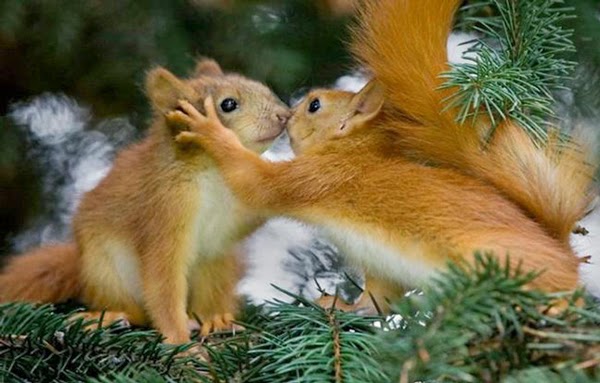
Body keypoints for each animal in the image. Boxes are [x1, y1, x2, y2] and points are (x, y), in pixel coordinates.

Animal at [0, 59, 290, 344]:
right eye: (228, 104)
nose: (285, 115)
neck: (214, 172)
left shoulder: (234, 214)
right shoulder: (164, 210)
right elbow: (163, 282)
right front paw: (179, 343)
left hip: (220, 263)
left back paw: (216, 318)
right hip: (106, 270)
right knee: (136, 311)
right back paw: (110, 317)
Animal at [166, 0, 596, 312]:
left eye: (315, 106)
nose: (286, 114)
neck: (353, 152)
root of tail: (562, 252)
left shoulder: (316, 176)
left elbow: (256, 183)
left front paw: (211, 131)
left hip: (501, 260)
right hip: (387, 267)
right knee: (377, 300)